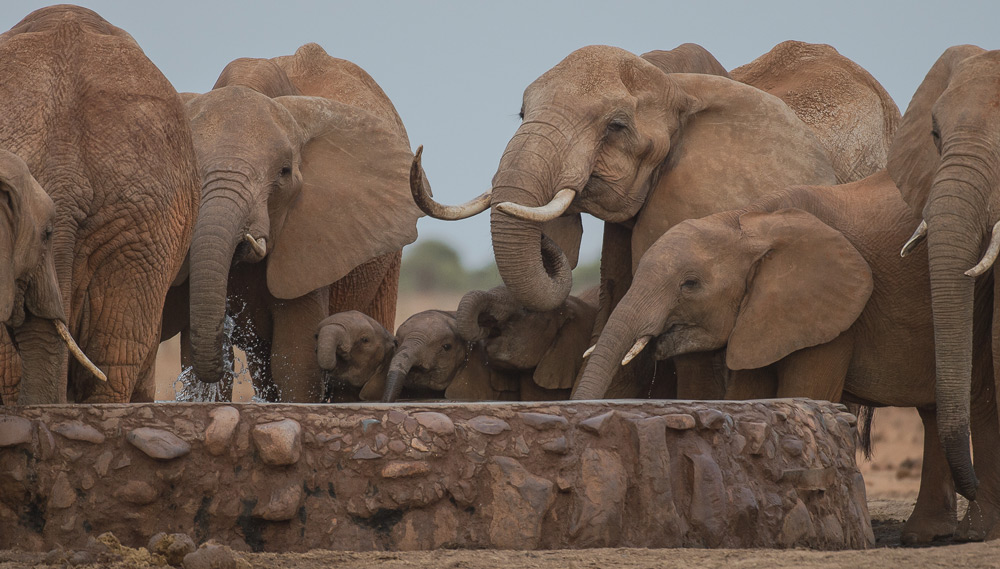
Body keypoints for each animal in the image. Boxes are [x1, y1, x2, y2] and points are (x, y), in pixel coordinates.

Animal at [572, 171, 992, 544]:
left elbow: (805, 391)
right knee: (935, 411)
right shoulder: (761, 314)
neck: (751, 220)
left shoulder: (832, 309)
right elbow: (747, 394)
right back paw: (926, 535)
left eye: (690, 284)